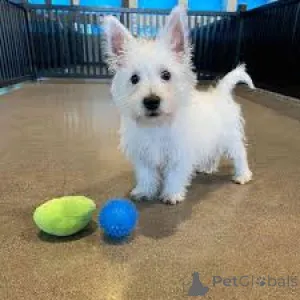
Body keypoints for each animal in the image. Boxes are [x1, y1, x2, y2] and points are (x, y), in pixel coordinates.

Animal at [102, 5, 253, 205]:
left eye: (166, 75)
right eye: (134, 78)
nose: (151, 101)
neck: (157, 125)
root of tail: (220, 93)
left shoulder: (180, 153)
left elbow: (175, 175)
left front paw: (172, 194)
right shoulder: (143, 154)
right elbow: (145, 175)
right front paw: (144, 191)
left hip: (230, 138)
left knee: (240, 154)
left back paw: (243, 175)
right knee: (214, 153)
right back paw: (208, 167)